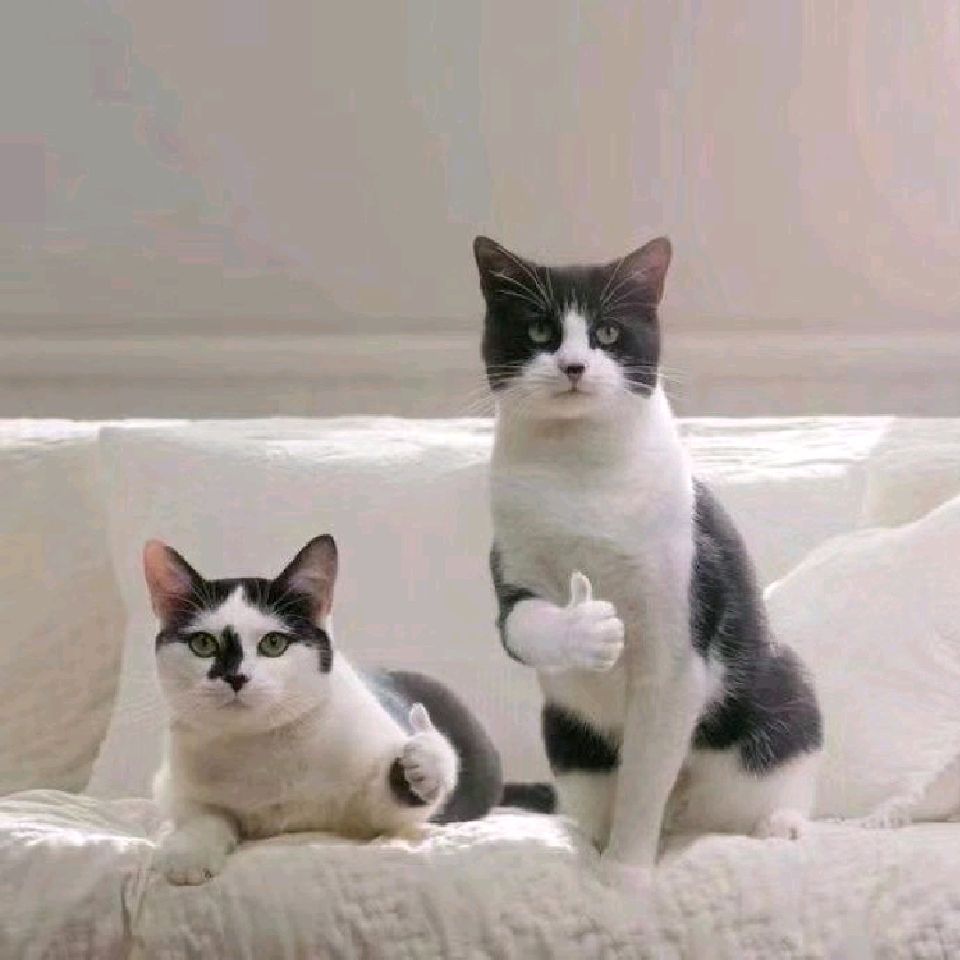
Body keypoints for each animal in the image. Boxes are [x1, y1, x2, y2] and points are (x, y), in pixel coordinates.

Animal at [146, 533, 541, 885]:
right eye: (203, 644)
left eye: (273, 643)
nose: (236, 677)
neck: (263, 744)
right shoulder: (173, 785)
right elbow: (202, 815)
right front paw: (188, 851)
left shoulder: (368, 809)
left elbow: (388, 807)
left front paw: (426, 761)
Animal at [473, 234, 823, 877]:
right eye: (539, 329)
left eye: (609, 332)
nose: (573, 366)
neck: (579, 471)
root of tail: (686, 818)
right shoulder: (512, 559)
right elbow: (521, 625)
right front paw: (586, 628)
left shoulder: (676, 622)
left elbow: (644, 775)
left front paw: (626, 872)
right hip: (566, 734)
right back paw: (585, 836)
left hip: (783, 690)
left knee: (778, 765)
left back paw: (778, 825)